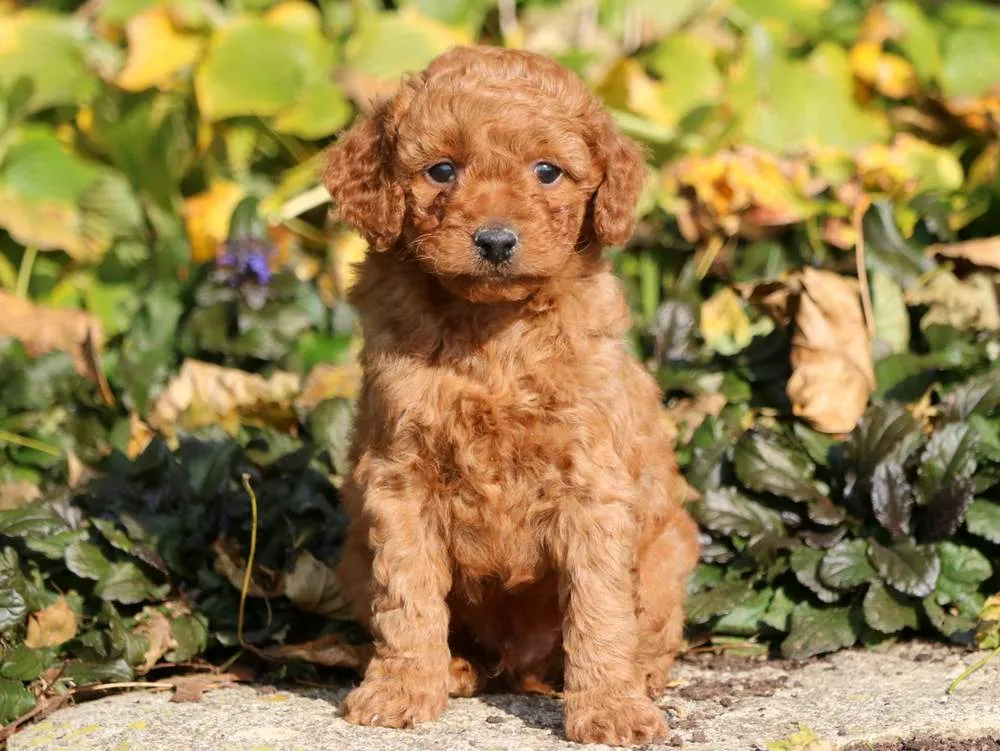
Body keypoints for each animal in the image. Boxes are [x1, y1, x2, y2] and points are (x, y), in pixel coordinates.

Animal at [324, 45, 700, 748]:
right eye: (441, 170)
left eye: (547, 171)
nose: (496, 240)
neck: (492, 329)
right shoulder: (399, 477)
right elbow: (407, 595)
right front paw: (400, 691)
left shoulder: (591, 479)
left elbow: (600, 608)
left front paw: (610, 707)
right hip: (353, 560)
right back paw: (456, 668)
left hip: (669, 551)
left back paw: (637, 677)